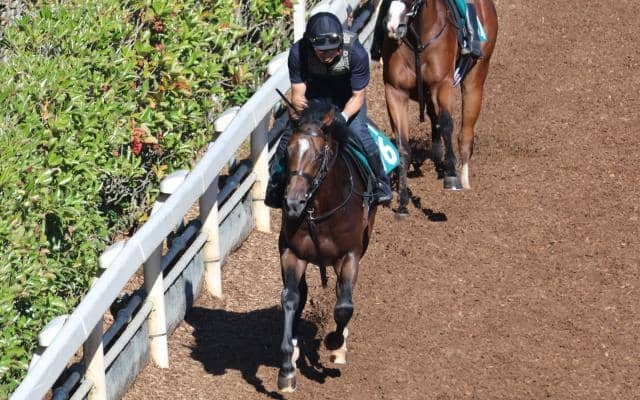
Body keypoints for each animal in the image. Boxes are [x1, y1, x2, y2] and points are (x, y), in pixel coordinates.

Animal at [276, 99, 377, 392]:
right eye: (287, 151)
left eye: (319, 155)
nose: (293, 203)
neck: (318, 211)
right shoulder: (291, 252)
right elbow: (291, 298)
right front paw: (287, 368)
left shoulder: (350, 254)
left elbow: (343, 305)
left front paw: (335, 343)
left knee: (342, 293)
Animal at [382, 0, 498, 217]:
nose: (393, 26)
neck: (418, 40)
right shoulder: (394, 91)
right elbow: (402, 145)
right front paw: (402, 203)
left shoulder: (442, 83)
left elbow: (446, 124)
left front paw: (451, 178)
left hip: (476, 77)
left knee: (465, 133)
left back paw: (465, 180)